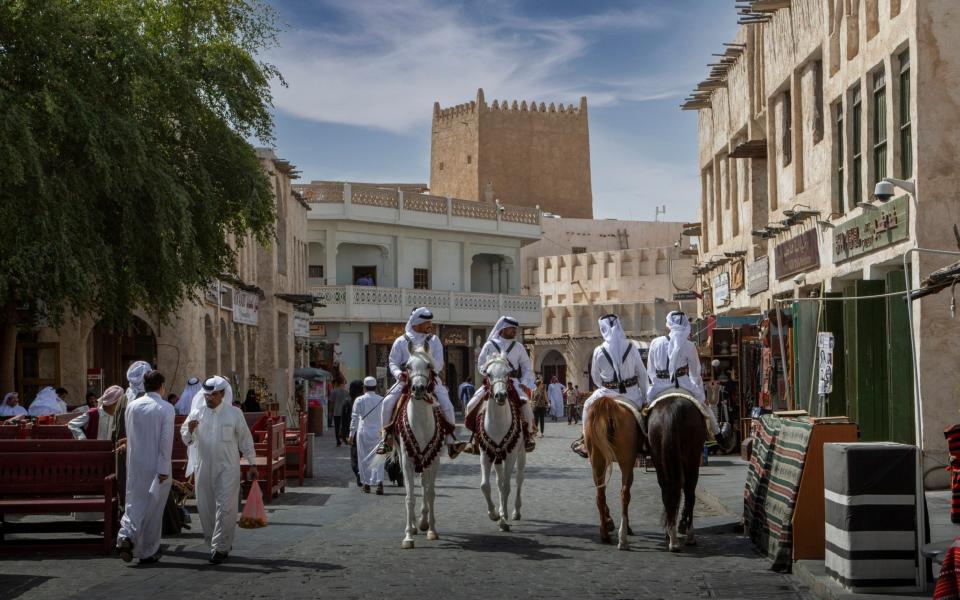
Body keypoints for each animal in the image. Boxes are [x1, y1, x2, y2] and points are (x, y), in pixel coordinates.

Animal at [478, 354, 528, 532]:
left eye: (507, 374)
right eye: (489, 374)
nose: (500, 395)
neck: (498, 422)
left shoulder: (511, 454)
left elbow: (507, 485)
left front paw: (504, 519)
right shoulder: (485, 453)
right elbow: (485, 485)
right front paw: (494, 514)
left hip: (521, 453)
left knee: (519, 478)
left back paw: (515, 512)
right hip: (498, 456)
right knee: (498, 482)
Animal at [580, 396, 640, 552]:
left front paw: (609, 521)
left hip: (598, 460)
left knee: (600, 495)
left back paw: (606, 534)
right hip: (625, 461)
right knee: (624, 493)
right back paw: (622, 536)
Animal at [644, 392, 704, 552]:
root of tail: (673, 408)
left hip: (662, 459)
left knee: (669, 490)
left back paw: (673, 536)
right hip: (691, 459)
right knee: (688, 493)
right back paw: (685, 536)